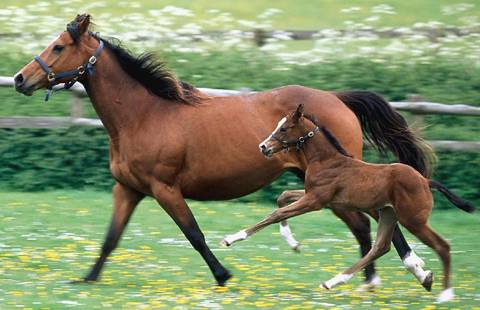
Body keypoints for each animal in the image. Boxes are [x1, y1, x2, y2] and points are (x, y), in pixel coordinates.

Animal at [14, 13, 436, 286]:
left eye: (58, 47)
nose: (20, 79)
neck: (144, 115)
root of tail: (338, 98)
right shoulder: (128, 189)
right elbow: (111, 238)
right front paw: (86, 279)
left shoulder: (165, 188)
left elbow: (194, 234)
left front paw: (223, 274)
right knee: (367, 226)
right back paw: (373, 280)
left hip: (339, 181)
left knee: (377, 224)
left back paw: (409, 272)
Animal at [223, 104, 474, 302]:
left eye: (284, 128)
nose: (263, 147)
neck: (327, 160)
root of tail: (424, 180)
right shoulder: (316, 197)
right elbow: (283, 197)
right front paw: (291, 241)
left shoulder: (315, 201)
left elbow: (275, 214)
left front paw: (231, 238)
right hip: (388, 213)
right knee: (380, 247)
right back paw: (333, 281)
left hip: (413, 220)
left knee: (442, 246)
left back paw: (445, 295)